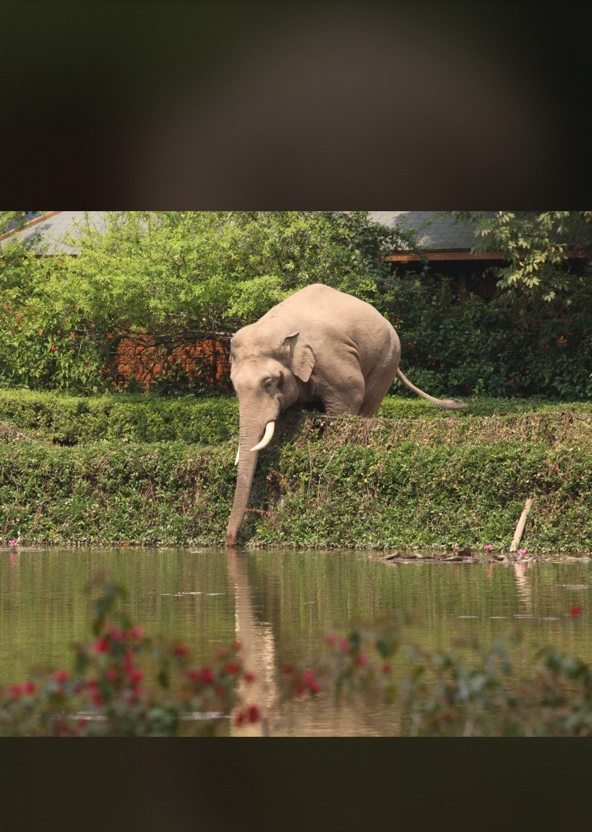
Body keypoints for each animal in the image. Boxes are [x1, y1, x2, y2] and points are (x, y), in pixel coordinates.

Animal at [226, 283, 464, 546]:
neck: (282, 331)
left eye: (268, 382)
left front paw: (331, 448)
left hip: (387, 360)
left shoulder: (331, 360)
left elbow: (349, 397)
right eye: (233, 384)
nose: (231, 541)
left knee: (367, 404)